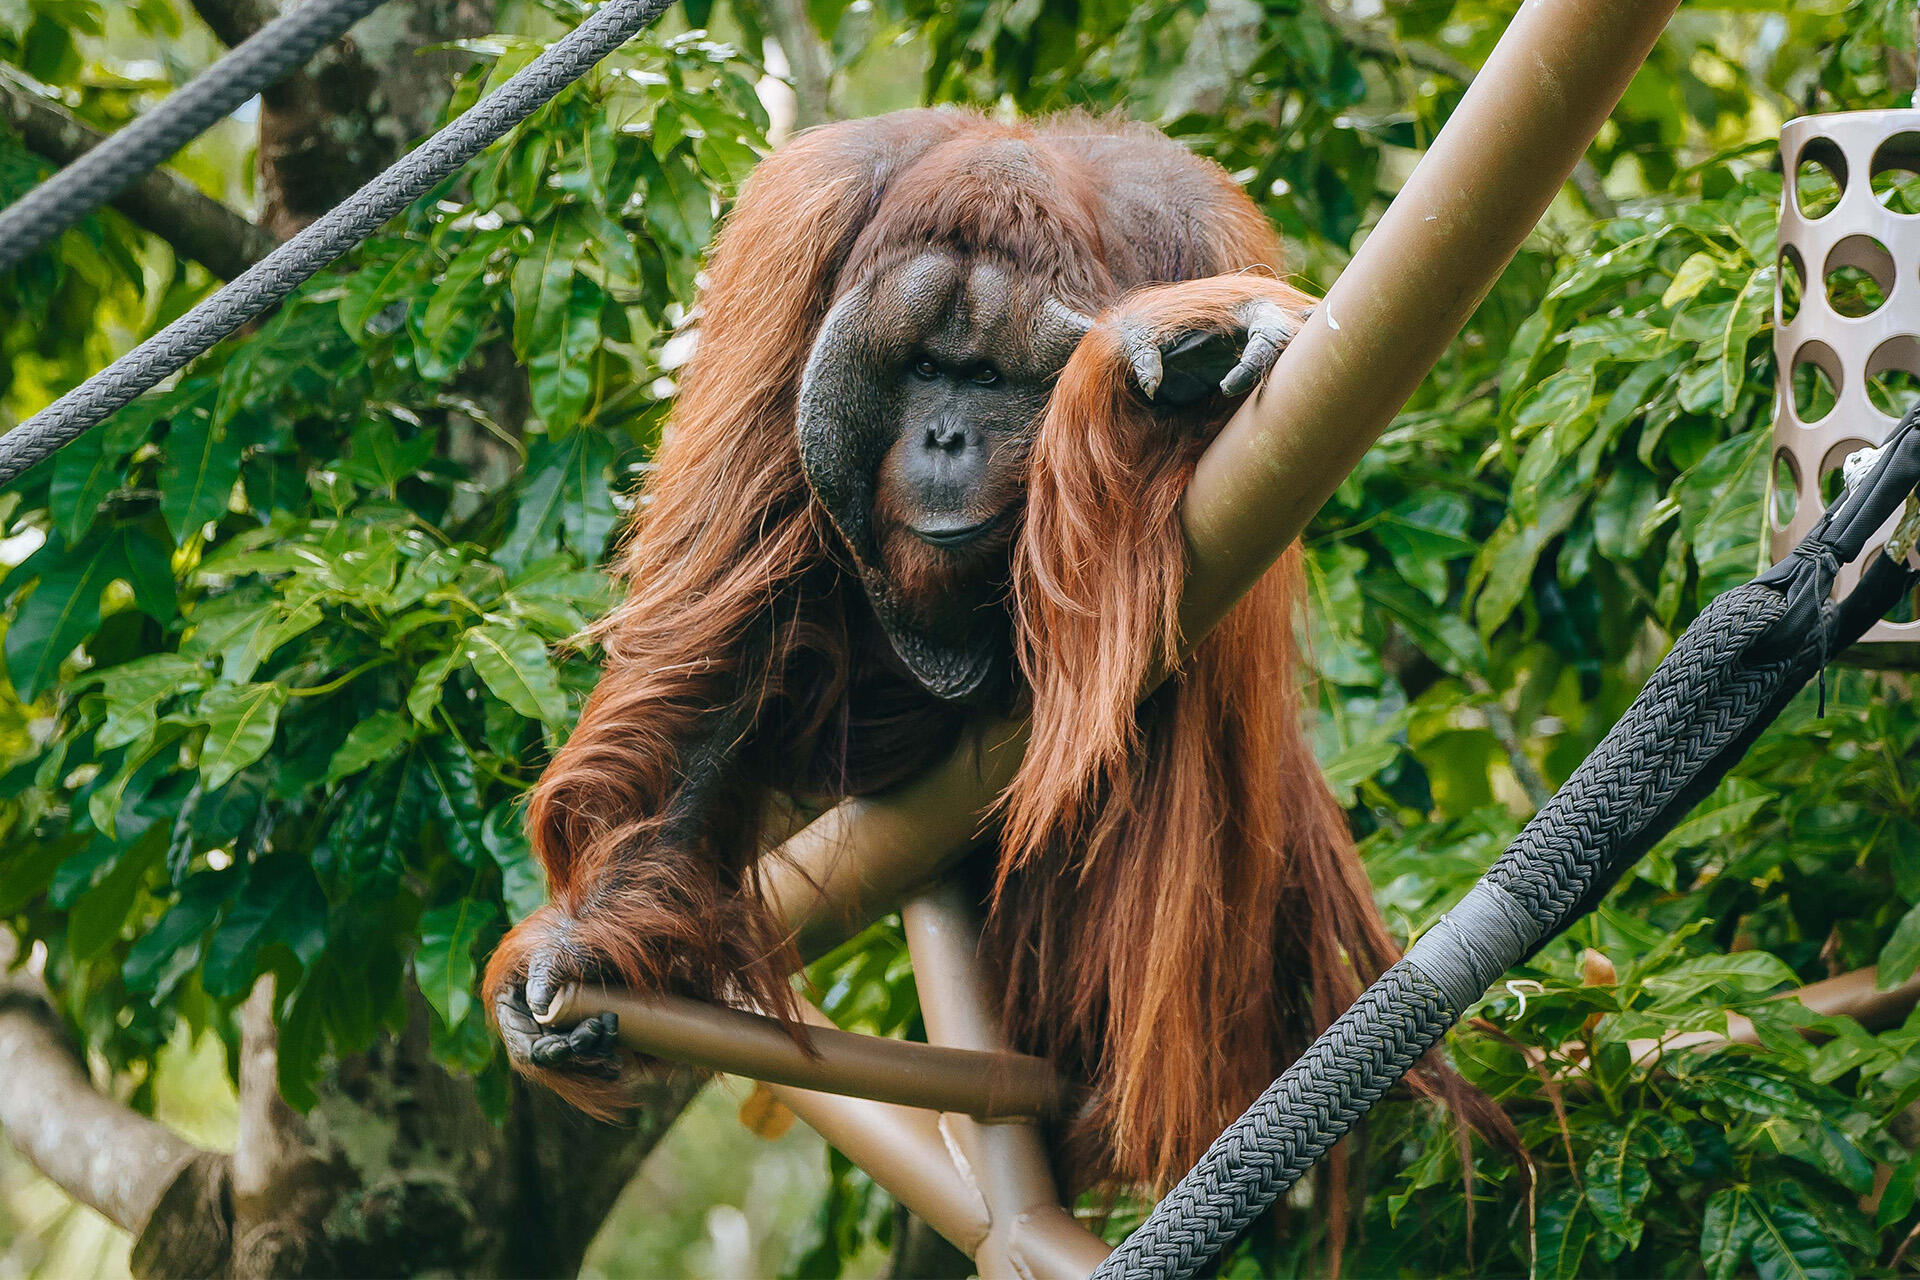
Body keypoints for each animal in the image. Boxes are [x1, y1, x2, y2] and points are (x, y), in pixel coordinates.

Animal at [484, 108, 1473, 1195]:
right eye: (922, 368)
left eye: (987, 377)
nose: (946, 437)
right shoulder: (795, 244)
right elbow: (725, 614)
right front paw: (581, 953)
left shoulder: (1205, 234)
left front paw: (1171, 351)